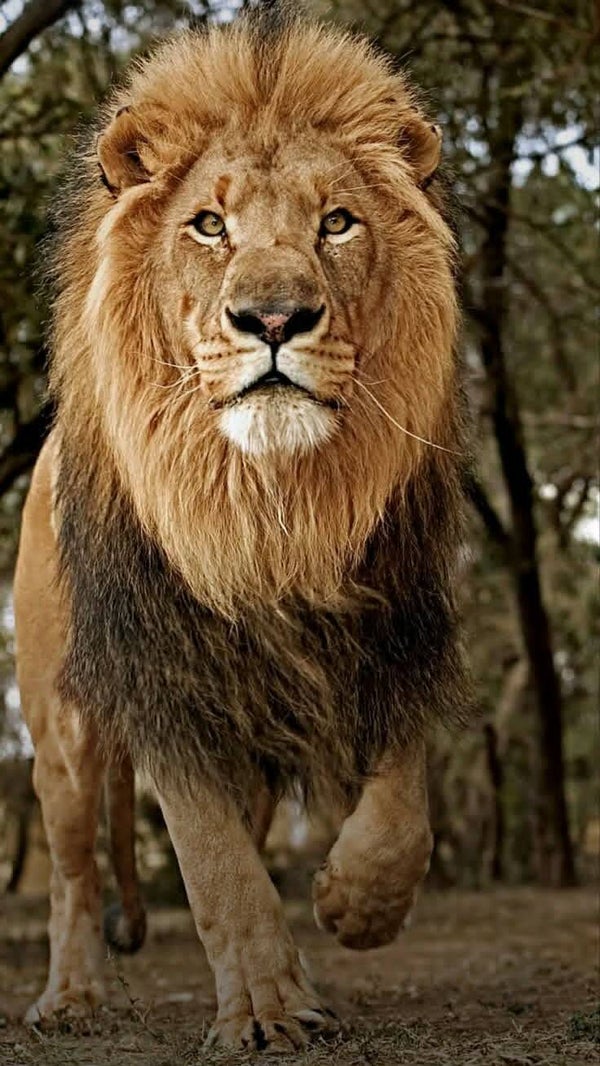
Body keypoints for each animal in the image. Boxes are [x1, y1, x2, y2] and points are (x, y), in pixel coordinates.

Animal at [14, 5, 470, 1053]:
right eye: (209, 225)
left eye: (336, 221)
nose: (273, 316)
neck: (271, 513)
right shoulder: (165, 671)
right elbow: (213, 857)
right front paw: (265, 1008)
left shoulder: (396, 627)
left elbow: (403, 805)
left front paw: (354, 905)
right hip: (60, 725)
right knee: (73, 869)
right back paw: (73, 996)